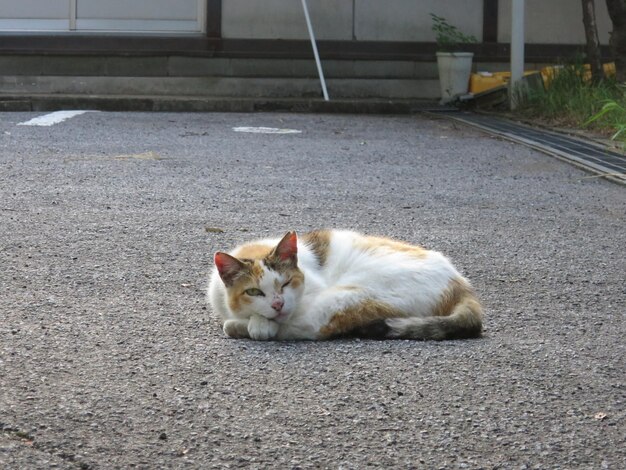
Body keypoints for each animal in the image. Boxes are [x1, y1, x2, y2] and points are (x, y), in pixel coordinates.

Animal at [207, 229, 480, 340]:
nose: (278, 304)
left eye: (285, 284)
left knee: (310, 328)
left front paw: (258, 325)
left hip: (350, 296)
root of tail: (462, 285)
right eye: (253, 291)